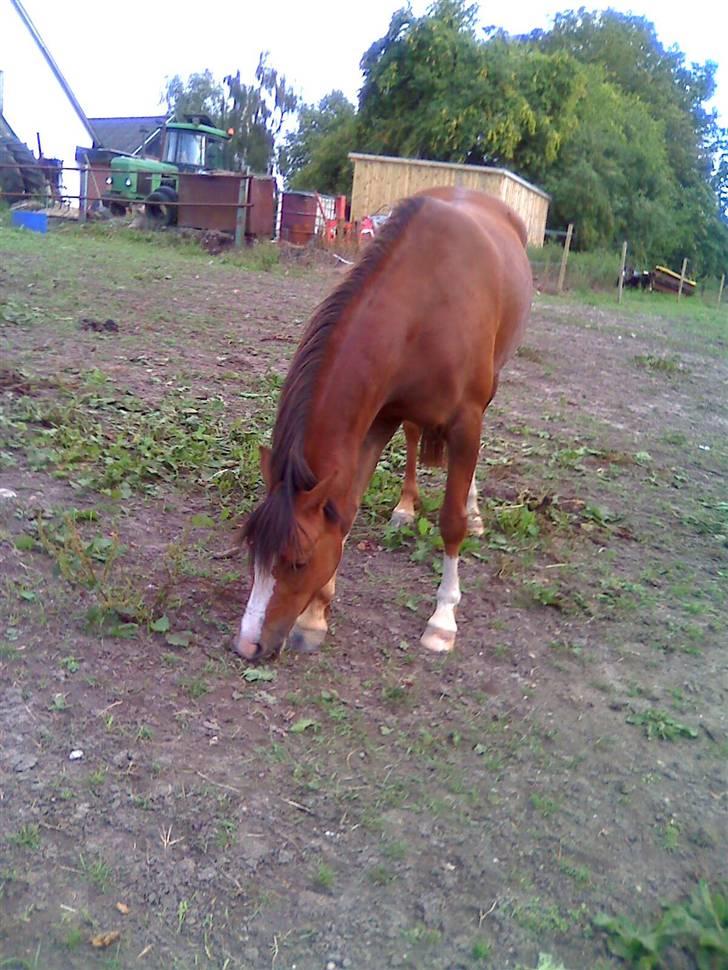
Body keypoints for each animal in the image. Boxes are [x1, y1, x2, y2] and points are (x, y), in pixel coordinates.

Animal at [236, 186, 533, 661]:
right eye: (254, 553)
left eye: (299, 561)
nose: (247, 646)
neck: (425, 305)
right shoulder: (380, 416)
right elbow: (346, 510)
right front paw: (315, 617)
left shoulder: (466, 419)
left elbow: (450, 522)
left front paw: (442, 620)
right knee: (413, 437)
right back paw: (405, 508)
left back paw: (473, 512)